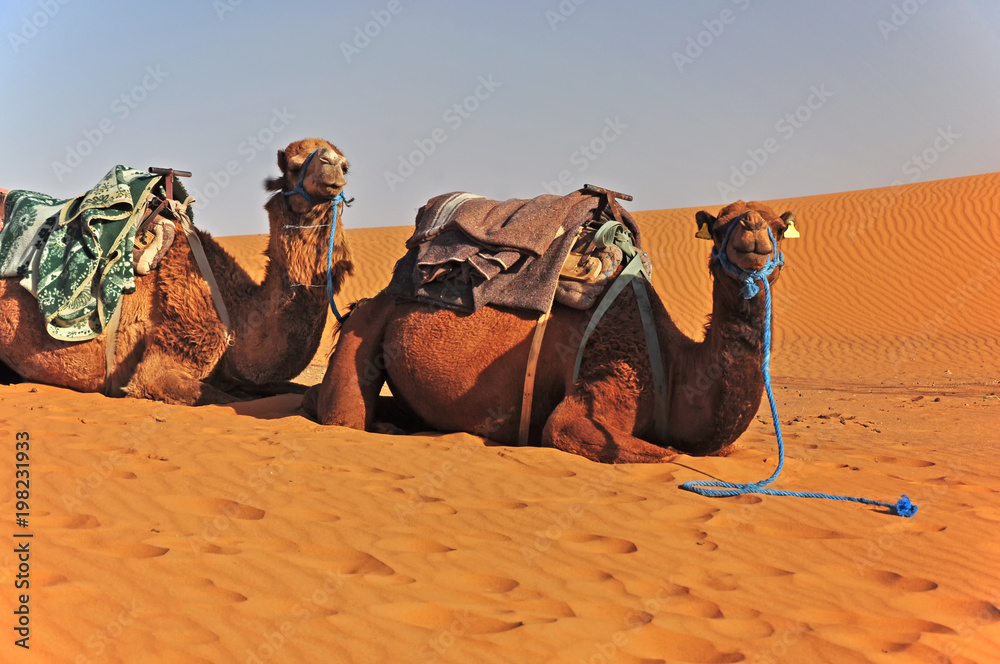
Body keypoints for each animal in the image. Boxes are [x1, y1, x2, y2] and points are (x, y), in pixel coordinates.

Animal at [0, 138, 353, 405]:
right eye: (294, 167)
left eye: (345, 164)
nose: (334, 164)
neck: (237, 312)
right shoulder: (167, 356)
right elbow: (217, 398)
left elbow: (290, 390)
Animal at [304, 200, 795, 463]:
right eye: (719, 225)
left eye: (777, 225)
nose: (752, 229)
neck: (676, 369)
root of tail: (366, 301)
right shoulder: (602, 386)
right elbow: (657, 451)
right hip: (366, 327)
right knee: (342, 416)